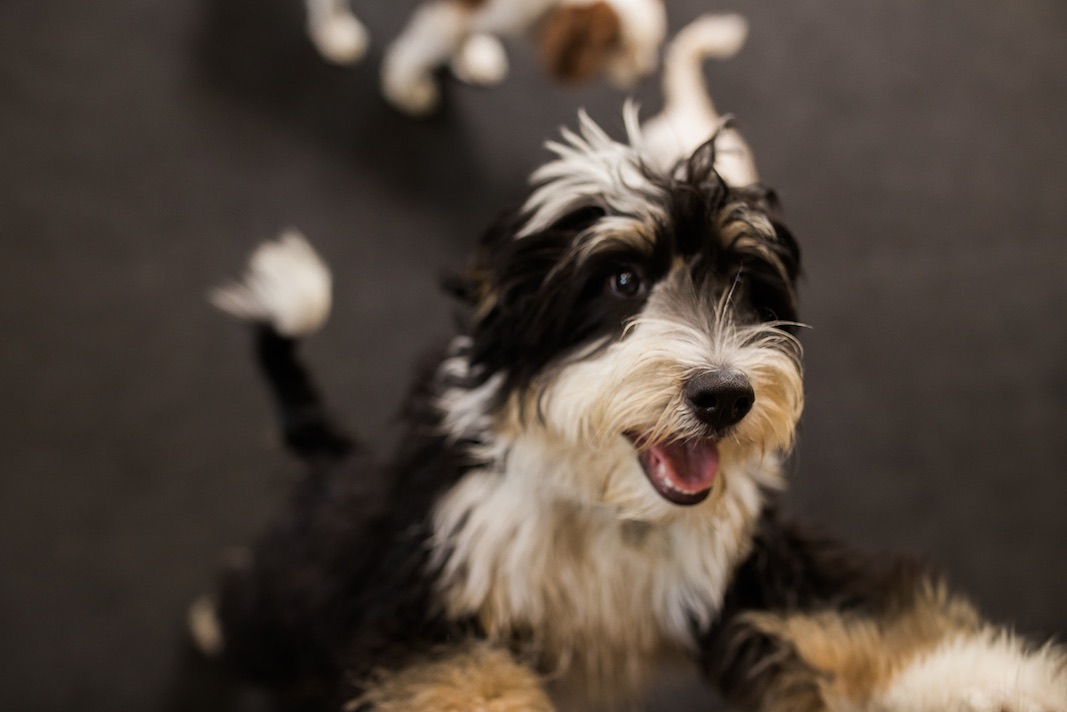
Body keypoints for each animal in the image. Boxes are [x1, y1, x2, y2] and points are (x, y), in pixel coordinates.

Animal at [194, 13, 1067, 708]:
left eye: (744, 286)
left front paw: (1006, 682)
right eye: (621, 281)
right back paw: (211, 622)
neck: (610, 514)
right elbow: (468, 683)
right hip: (296, 590)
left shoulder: (749, 561)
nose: (724, 396)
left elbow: (883, 621)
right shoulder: (431, 594)